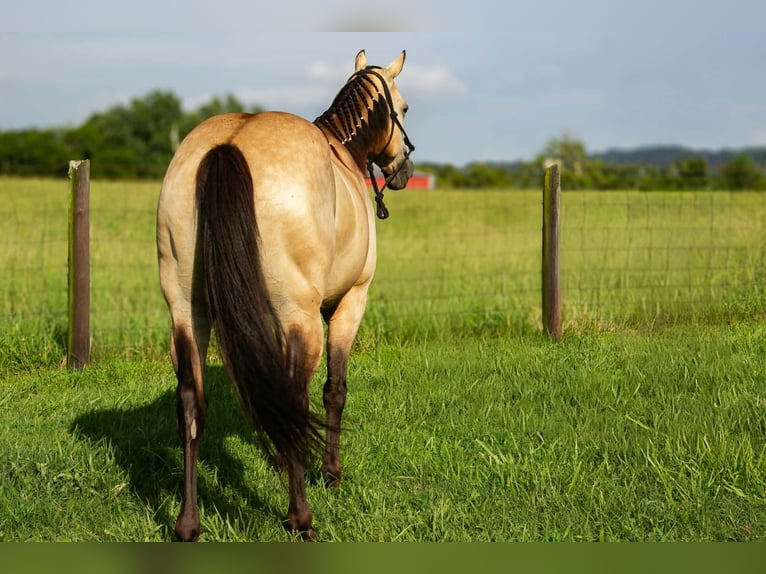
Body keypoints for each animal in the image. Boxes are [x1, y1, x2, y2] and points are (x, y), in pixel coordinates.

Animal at [156, 50, 414, 541]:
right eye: (404, 108)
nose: (405, 170)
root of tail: (227, 146)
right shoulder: (349, 304)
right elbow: (334, 390)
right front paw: (330, 473)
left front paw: (279, 457)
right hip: (303, 318)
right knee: (295, 398)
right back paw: (301, 519)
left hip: (187, 313)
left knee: (192, 403)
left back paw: (188, 525)